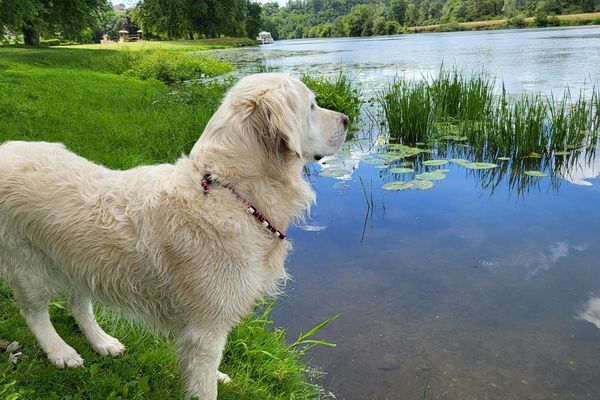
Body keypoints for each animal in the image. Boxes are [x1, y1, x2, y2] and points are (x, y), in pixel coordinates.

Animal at [0, 73, 350, 398]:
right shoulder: (207, 324)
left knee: (78, 303)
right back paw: (60, 352)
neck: (231, 191)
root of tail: (8, 148)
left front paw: (217, 374)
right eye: (312, 106)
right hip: (25, 262)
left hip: (79, 259)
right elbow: (204, 382)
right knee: (34, 312)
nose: (347, 119)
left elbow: (204, 368)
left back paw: (102, 342)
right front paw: (209, 383)